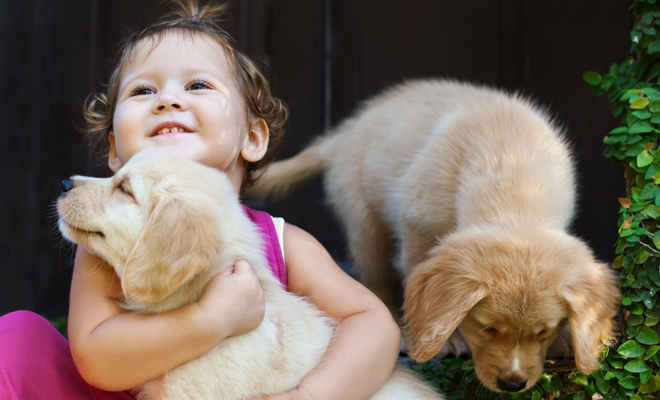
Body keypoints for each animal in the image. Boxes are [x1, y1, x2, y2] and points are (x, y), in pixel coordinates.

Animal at [248, 79, 620, 392]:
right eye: (486, 327)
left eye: (543, 331)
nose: (512, 385)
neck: (514, 175)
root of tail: (347, 132)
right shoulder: (416, 224)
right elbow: (417, 277)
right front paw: (445, 339)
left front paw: (568, 340)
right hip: (365, 220)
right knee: (376, 279)